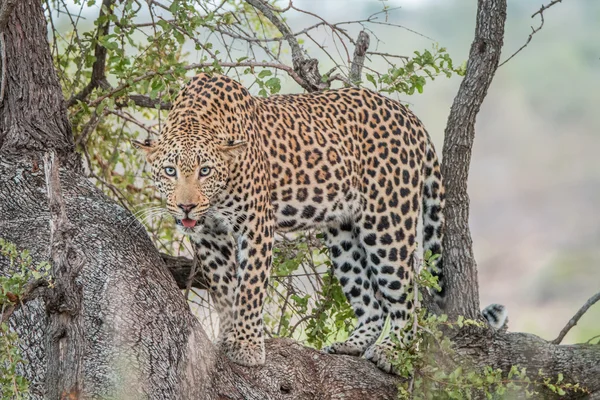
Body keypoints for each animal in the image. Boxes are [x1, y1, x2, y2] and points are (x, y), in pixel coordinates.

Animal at [134, 71, 448, 372]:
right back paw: (350, 345)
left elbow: (249, 287)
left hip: (387, 222)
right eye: (170, 171)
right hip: (343, 235)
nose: (186, 207)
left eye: (205, 171)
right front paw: (227, 336)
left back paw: (394, 352)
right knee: (372, 303)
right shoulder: (209, 235)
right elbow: (224, 287)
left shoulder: (256, 224)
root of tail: (409, 116)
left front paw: (247, 345)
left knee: (406, 295)